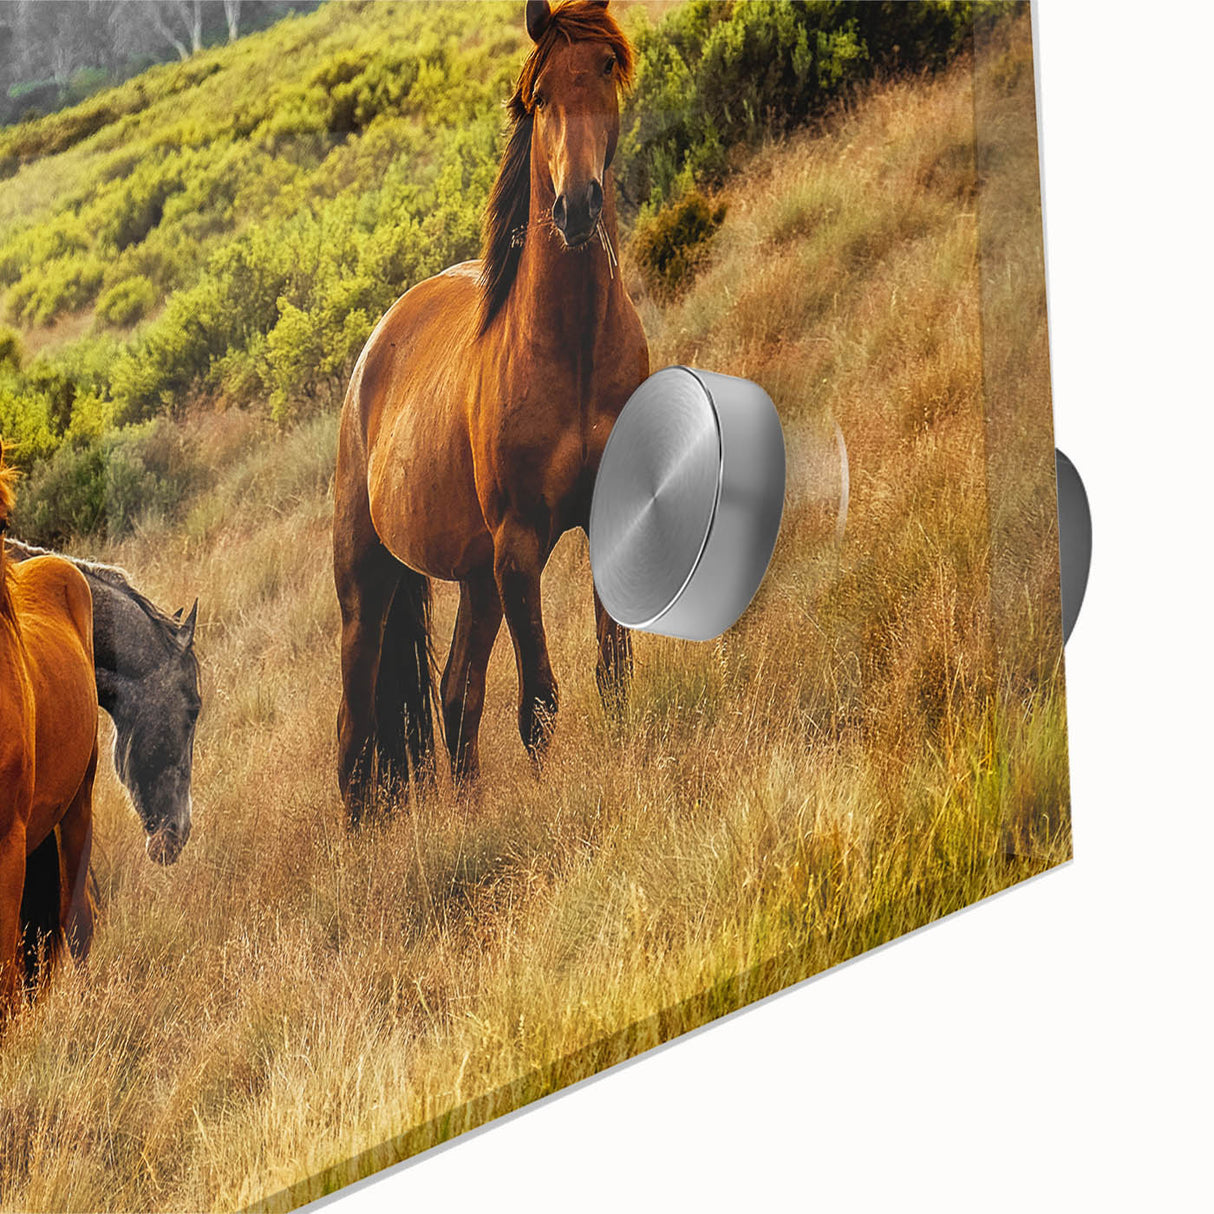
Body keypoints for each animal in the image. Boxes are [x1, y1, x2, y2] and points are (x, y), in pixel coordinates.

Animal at [333, 0, 649, 819]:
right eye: (538, 96)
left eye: (606, 67)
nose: (576, 205)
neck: (570, 348)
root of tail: (372, 350)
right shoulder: (520, 546)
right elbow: (539, 700)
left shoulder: (603, 518)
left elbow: (612, 666)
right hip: (368, 584)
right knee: (355, 731)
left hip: (475, 579)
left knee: (453, 697)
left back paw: (469, 813)